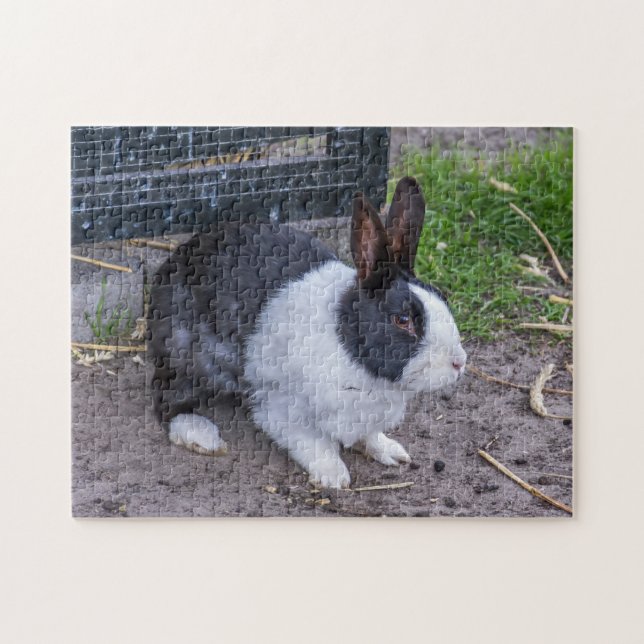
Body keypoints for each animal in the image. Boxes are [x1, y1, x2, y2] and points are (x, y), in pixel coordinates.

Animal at [148, 176, 467, 488]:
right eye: (402, 319)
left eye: (441, 296)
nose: (459, 363)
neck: (348, 344)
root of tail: (174, 262)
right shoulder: (283, 407)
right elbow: (314, 443)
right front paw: (334, 477)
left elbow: (369, 436)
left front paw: (390, 452)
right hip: (184, 352)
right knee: (168, 397)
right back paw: (201, 435)